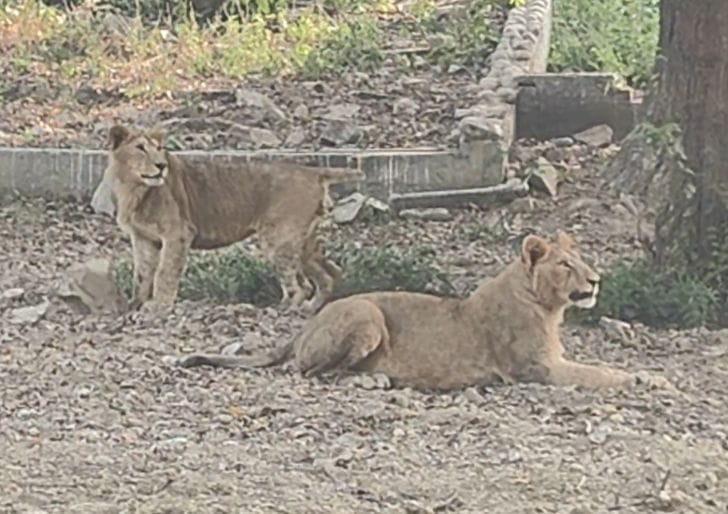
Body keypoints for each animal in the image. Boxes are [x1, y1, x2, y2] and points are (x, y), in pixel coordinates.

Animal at [104, 124, 364, 312]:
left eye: (159, 148)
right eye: (140, 148)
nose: (161, 165)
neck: (133, 189)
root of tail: (312, 171)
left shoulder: (178, 234)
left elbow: (165, 271)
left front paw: (159, 306)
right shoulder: (143, 238)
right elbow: (142, 273)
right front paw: (134, 305)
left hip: (277, 239)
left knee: (301, 286)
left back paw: (283, 310)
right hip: (303, 243)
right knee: (330, 274)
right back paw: (309, 309)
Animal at [170, 231, 671, 391]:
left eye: (582, 259)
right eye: (566, 265)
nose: (596, 280)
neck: (546, 306)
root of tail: (306, 325)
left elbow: (601, 365)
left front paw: (654, 375)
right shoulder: (536, 369)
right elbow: (598, 373)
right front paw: (642, 380)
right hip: (368, 316)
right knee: (312, 372)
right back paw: (373, 380)